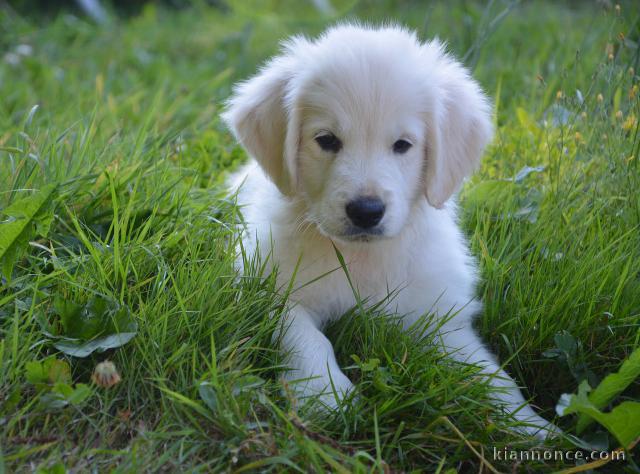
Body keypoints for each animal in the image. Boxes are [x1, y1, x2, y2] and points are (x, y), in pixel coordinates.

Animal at [222, 22, 552, 436]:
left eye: (403, 145)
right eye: (326, 140)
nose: (366, 211)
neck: (361, 256)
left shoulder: (440, 316)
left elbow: (489, 373)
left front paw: (533, 427)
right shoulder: (267, 286)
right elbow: (304, 335)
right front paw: (326, 395)